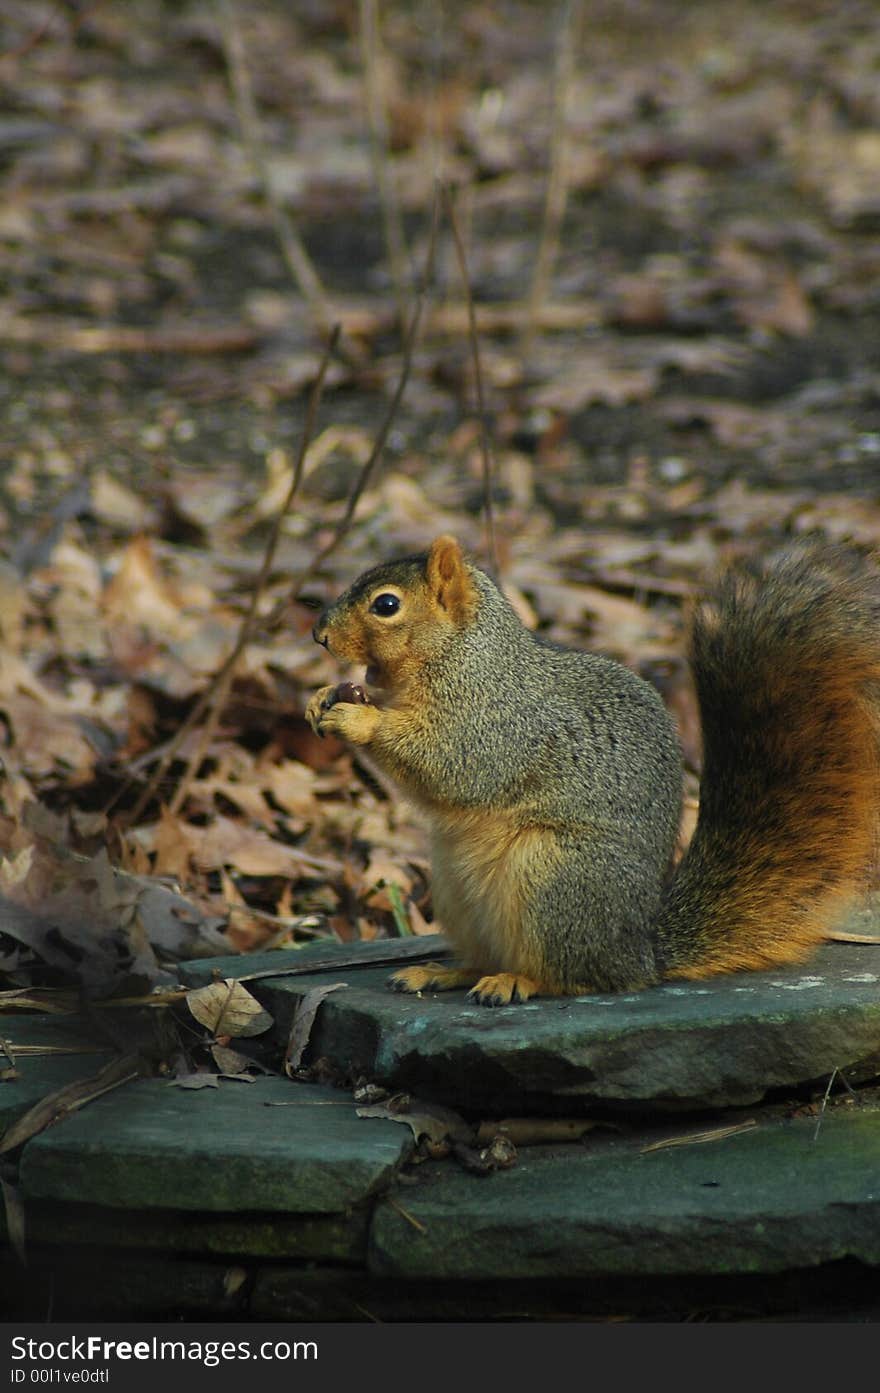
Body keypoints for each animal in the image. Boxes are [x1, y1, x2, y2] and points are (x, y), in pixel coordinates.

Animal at [303, 537, 880, 1008]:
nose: (318, 634)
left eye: (386, 605)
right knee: (491, 957)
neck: (463, 658)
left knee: (580, 978)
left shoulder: (498, 726)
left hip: (555, 876)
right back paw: (443, 972)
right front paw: (324, 697)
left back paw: (517, 981)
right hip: (455, 888)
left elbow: (451, 765)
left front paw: (358, 717)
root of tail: (639, 951)